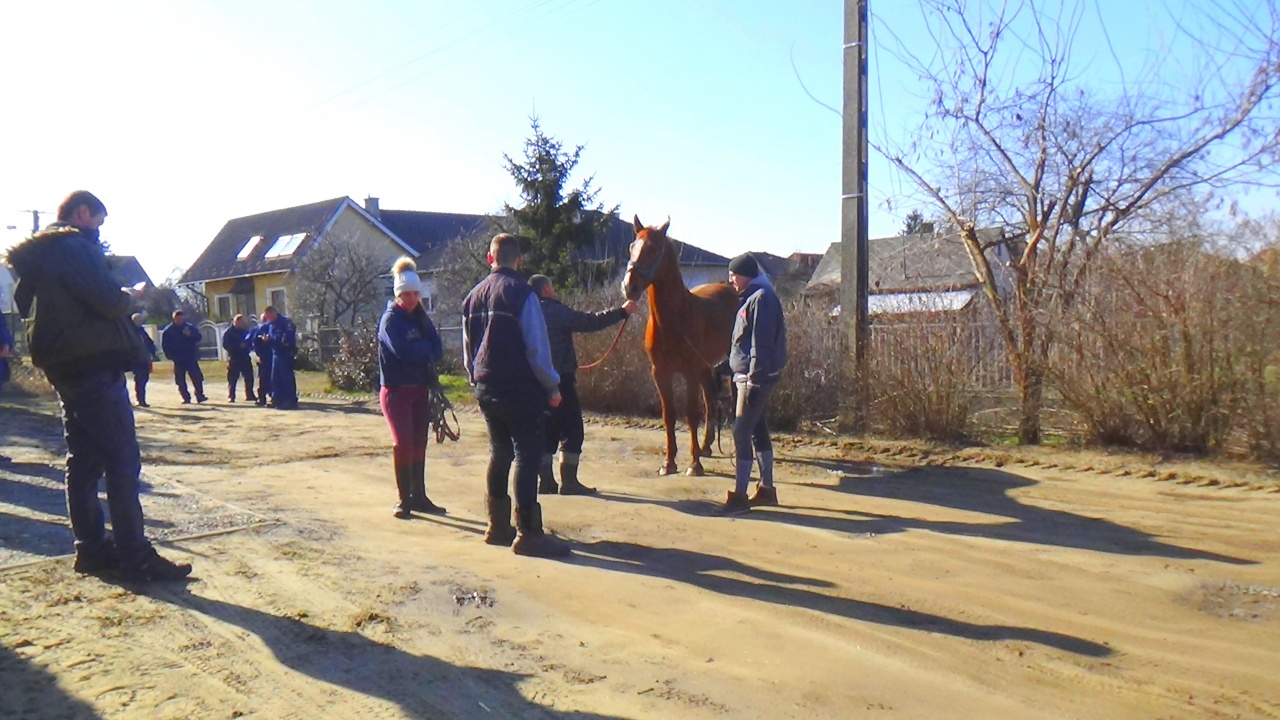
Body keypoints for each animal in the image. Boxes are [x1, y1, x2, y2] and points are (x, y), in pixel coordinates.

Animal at [622, 215, 737, 474]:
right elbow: (669, 415)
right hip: (706, 368)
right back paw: (706, 446)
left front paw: (694, 465)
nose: (628, 287)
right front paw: (668, 463)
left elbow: (691, 415)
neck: (672, 321)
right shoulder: (661, 373)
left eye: (654, 249)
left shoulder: (689, 373)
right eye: (632, 247)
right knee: (710, 400)